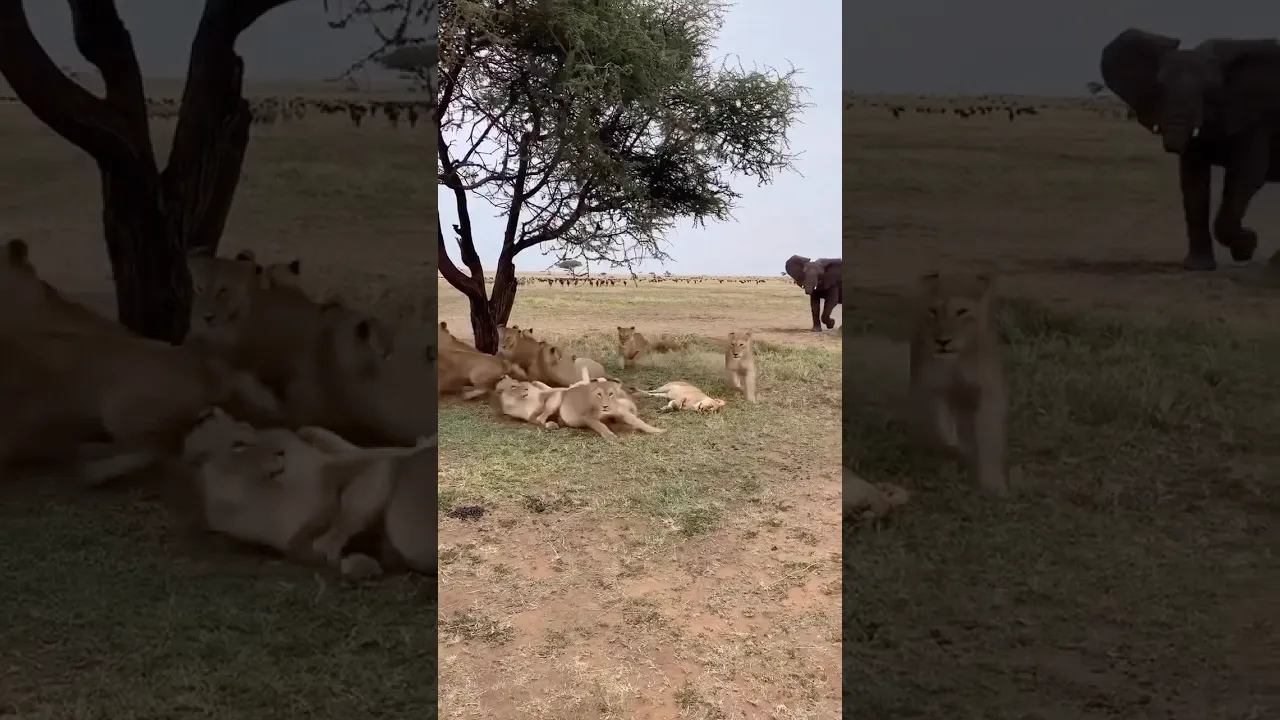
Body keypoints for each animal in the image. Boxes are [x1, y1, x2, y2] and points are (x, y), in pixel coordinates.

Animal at [1101, 28, 1280, 271]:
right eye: (1160, 87)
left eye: (1210, 91)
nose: (1170, 145)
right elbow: (1193, 182)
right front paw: (1198, 267)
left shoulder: (1254, 120)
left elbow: (1246, 176)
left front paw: (1247, 246)